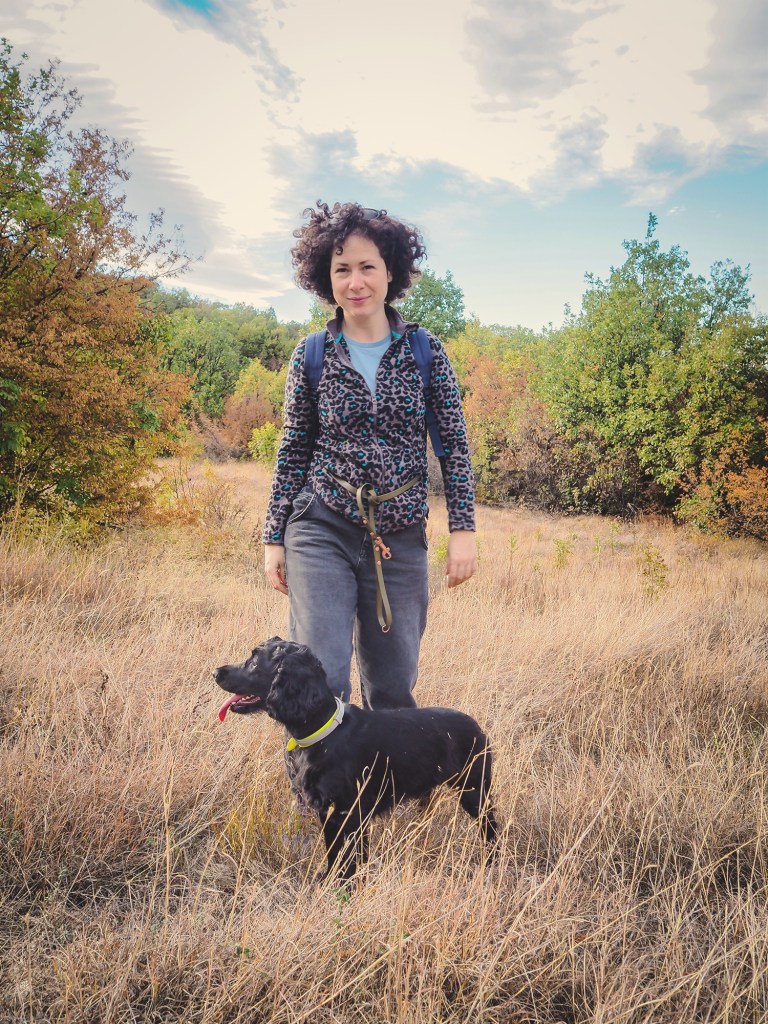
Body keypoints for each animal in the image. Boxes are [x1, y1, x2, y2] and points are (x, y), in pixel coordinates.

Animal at [214, 637, 498, 880]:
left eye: (254, 662)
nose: (216, 672)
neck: (324, 732)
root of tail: (478, 728)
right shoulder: (328, 811)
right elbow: (334, 852)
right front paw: (329, 879)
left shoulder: (349, 811)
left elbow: (349, 857)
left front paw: (346, 885)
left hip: (475, 792)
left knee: (491, 829)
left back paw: (492, 862)